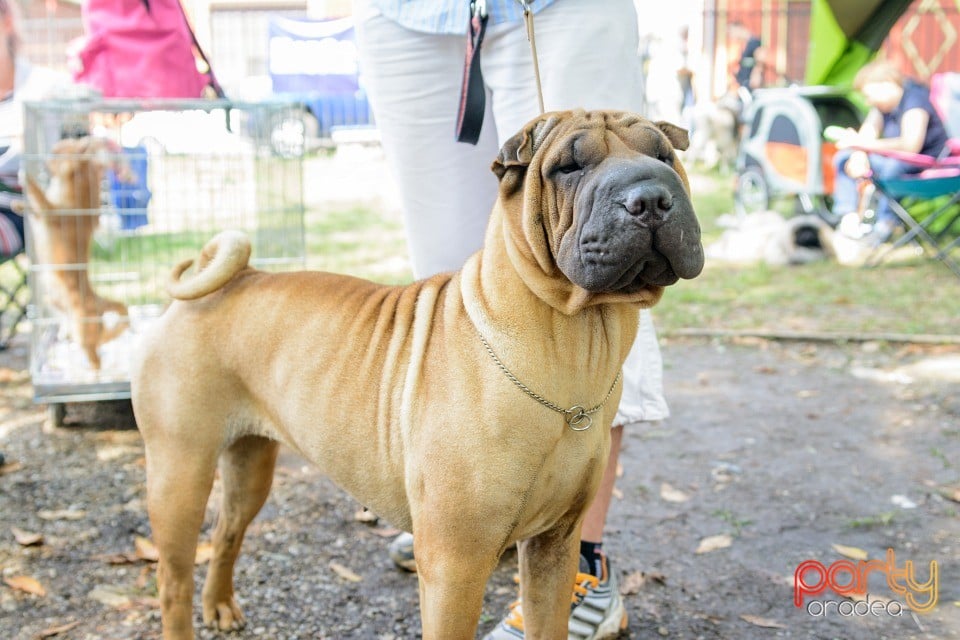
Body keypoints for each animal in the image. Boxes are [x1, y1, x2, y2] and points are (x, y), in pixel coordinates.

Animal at [24, 138, 130, 372]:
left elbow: (39, 196)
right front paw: (18, 204)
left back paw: (92, 373)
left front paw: (25, 177)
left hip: (82, 329)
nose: (45, 159)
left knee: (95, 358)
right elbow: (32, 209)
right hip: (53, 302)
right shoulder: (42, 217)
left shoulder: (52, 214)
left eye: (57, 152)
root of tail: (98, 300)